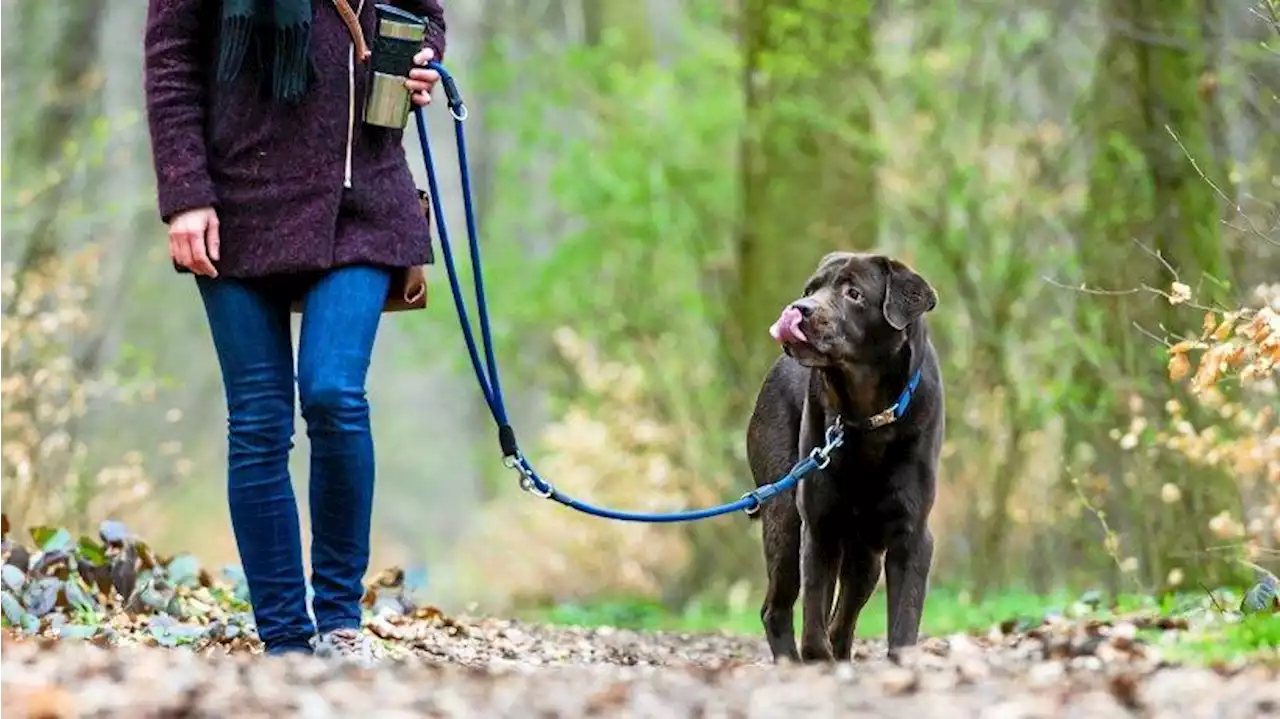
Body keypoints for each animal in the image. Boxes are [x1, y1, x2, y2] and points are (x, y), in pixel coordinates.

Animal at [747, 252, 947, 660]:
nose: (799, 308)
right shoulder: (819, 525)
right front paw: (816, 658)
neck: (868, 418)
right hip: (785, 519)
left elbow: (903, 622)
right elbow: (813, 621)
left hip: (865, 553)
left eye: (854, 293)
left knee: (843, 619)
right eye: (811, 289)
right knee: (777, 609)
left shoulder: (911, 534)